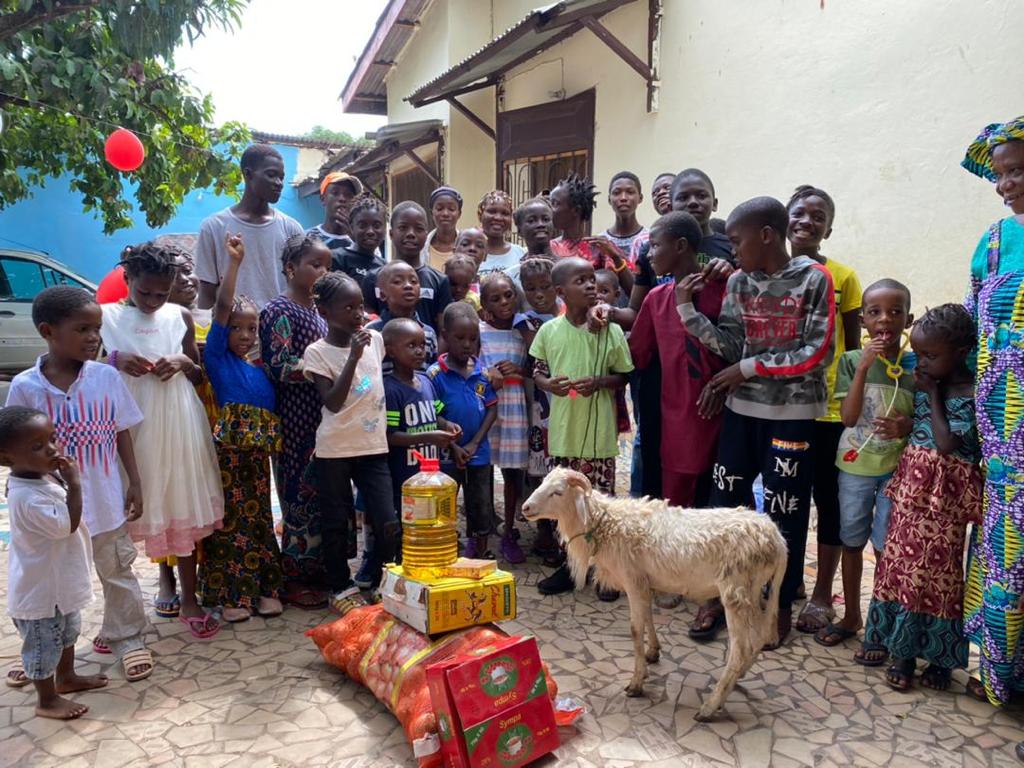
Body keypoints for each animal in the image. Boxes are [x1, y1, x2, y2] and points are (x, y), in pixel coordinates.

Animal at [524, 466, 786, 724]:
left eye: (557, 492)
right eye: (542, 483)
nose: (526, 508)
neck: (607, 524)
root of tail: (777, 540)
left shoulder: (633, 580)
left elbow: (635, 629)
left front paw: (636, 682)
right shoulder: (644, 583)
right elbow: (648, 618)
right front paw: (653, 652)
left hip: (735, 591)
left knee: (740, 650)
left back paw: (710, 706)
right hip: (753, 592)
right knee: (759, 638)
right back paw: (736, 679)